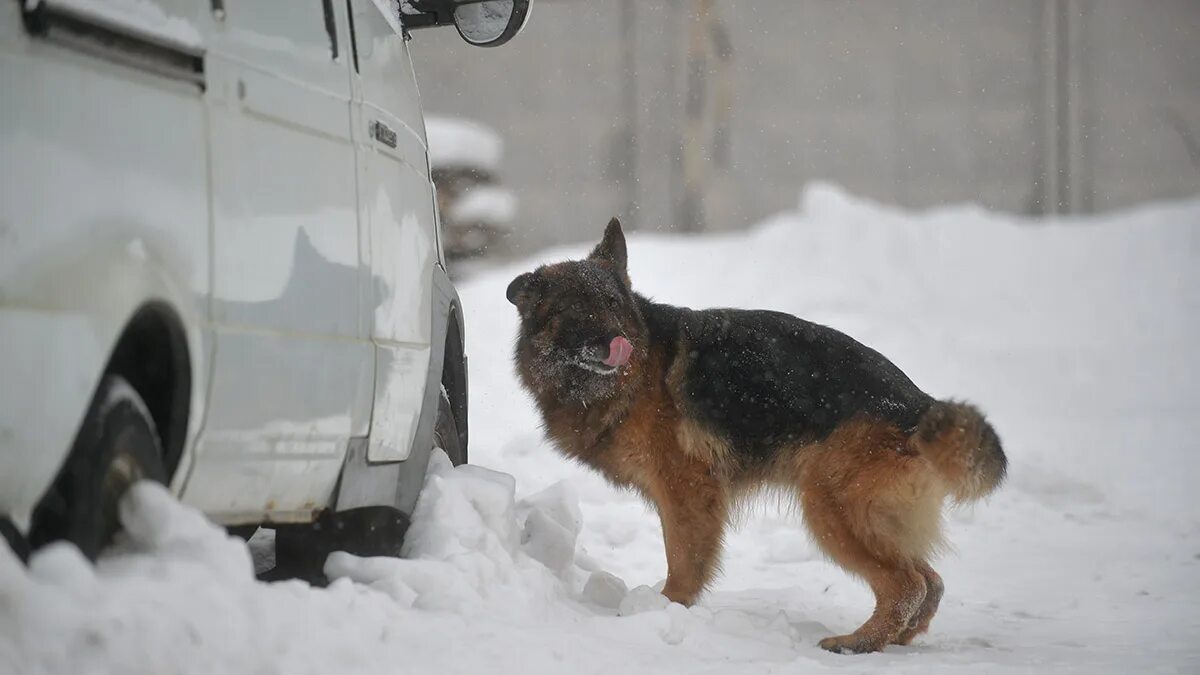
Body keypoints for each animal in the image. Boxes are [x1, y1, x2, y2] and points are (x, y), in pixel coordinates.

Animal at [501, 218, 1008, 648]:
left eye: (611, 304)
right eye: (574, 309)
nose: (617, 343)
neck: (633, 376)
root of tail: (918, 405)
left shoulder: (686, 492)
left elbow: (683, 561)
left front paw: (665, 610)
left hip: (831, 506)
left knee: (906, 585)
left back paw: (858, 643)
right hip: (870, 516)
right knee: (930, 582)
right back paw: (896, 640)